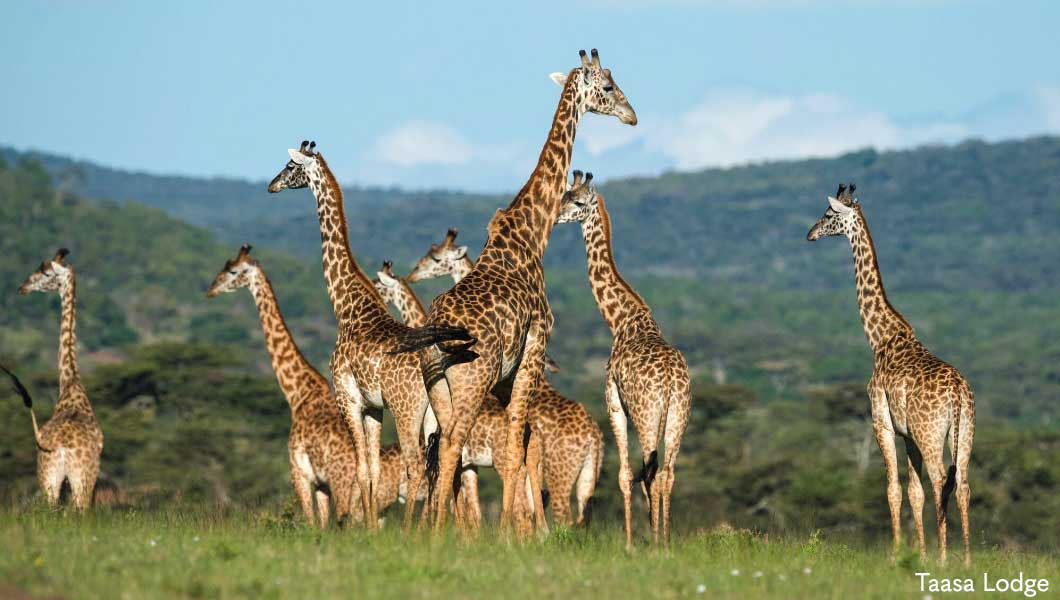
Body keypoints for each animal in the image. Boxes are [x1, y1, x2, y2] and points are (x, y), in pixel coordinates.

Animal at [14, 249, 103, 510]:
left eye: (46, 272)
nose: (22, 287)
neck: (70, 382)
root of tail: (62, 449)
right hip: (80, 480)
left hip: (51, 478)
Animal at [206, 244, 360, 528]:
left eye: (232, 271)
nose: (211, 289)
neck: (298, 393)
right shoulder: (321, 483)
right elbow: (322, 525)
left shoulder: (298, 473)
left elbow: (310, 522)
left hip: (342, 483)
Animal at [267, 141, 474, 529]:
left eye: (290, 166)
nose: (271, 186)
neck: (346, 307)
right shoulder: (375, 407)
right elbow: (375, 469)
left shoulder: (349, 396)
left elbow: (362, 468)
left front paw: (363, 531)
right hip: (438, 410)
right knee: (445, 463)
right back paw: (440, 531)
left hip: (408, 408)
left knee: (415, 466)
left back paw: (410, 532)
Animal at [555, 171, 691, 547]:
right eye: (564, 195)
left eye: (577, 201)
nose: (554, 216)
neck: (621, 319)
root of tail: (671, 382)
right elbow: (644, 474)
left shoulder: (613, 401)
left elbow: (625, 473)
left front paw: (630, 543)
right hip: (678, 417)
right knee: (668, 473)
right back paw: (666, 540)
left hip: (647, 417)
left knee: (652, 473)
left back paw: (655, 542)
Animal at [807, 183, 975, 566]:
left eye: (828, 214)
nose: (809, 234)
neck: (880, 337)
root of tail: (958, 394)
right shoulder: (908, 433)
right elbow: (915, 491)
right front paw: (920, 554)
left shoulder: (881, 422)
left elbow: (893, 489)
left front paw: (897, 554)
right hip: (964, 433)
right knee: (962, 483)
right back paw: (966, 560)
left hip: (932, 434)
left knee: (942, 478)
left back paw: (946, 558)